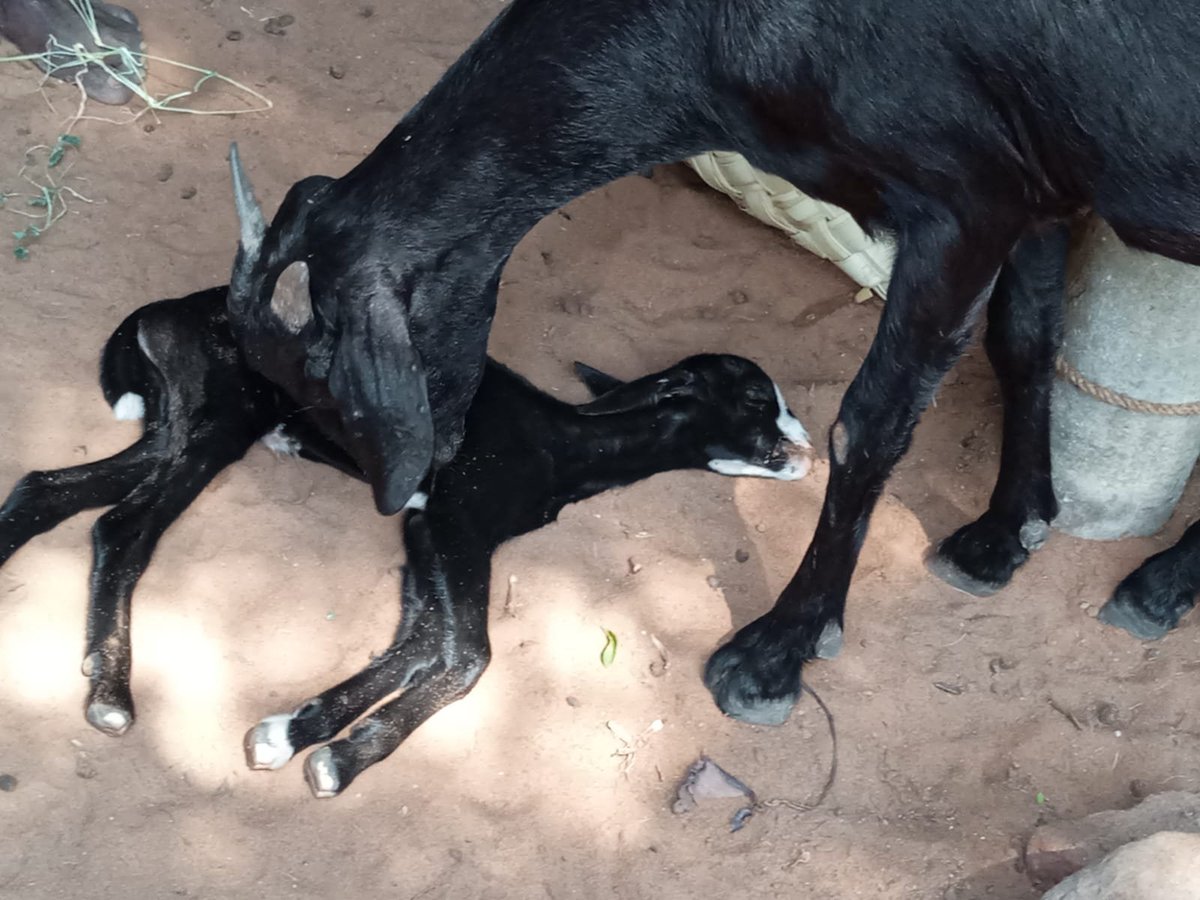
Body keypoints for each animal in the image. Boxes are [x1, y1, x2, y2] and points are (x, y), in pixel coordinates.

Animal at [0, 285, 814, 796]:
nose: (807, 448)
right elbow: (470, 654)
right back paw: (111, 695)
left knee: (48, 489)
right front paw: (340, 762)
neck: (558, 444)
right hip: (217, 423)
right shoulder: (456, 526)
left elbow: (419, 642)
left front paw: (292, 734)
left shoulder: (427, 536)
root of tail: (163, 312)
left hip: (174, 427)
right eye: (754, 398)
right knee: (124, 525)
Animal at [221, 0, 1200, 725]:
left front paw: (776, 653)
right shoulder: (1037, 178)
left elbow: (869, 423)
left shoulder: (965, 198)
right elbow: (1028, 336)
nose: (417, 486)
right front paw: (1008, 528)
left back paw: (1160, 583)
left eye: (330, 380)